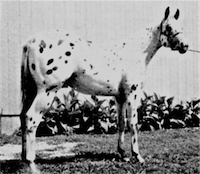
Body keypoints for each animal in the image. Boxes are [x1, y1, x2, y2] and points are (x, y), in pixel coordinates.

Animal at [20, 6, 189, 173]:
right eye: (169, 27)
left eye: (181, 27)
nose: (185, 46)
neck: (134, 52)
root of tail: (30, 43)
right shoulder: (132, 94)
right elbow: (133, 123)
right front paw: (137, 156)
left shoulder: (120, 97)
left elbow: (121, 123)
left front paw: (122, 154)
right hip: (47, 91)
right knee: (31, 118)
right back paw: (31, 164)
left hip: (32, 91)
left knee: (23, 117)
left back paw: (24, 158)